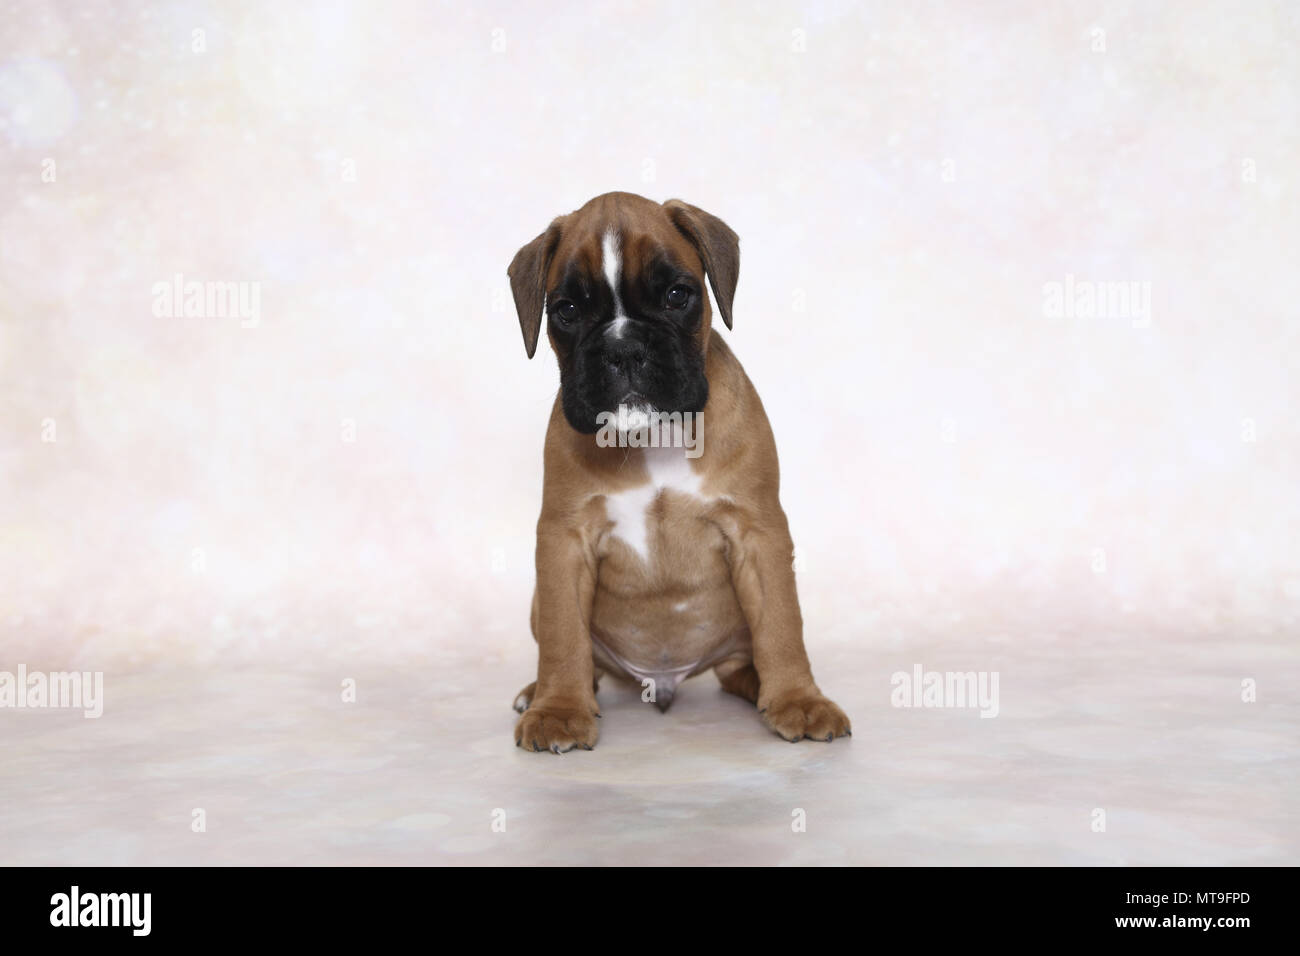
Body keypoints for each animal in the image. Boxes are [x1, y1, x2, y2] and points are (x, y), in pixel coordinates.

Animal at [506, 188, 852, 754]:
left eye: (676, 295)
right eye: (567, 310)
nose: (624, 348)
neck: (654, 438)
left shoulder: (759, 534)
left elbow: (782, 623)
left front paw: (799, 699)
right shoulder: (563, 542)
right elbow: (563, 636)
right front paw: (557, 709)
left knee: (740, 663)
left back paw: (761, 685)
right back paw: (541, 692)